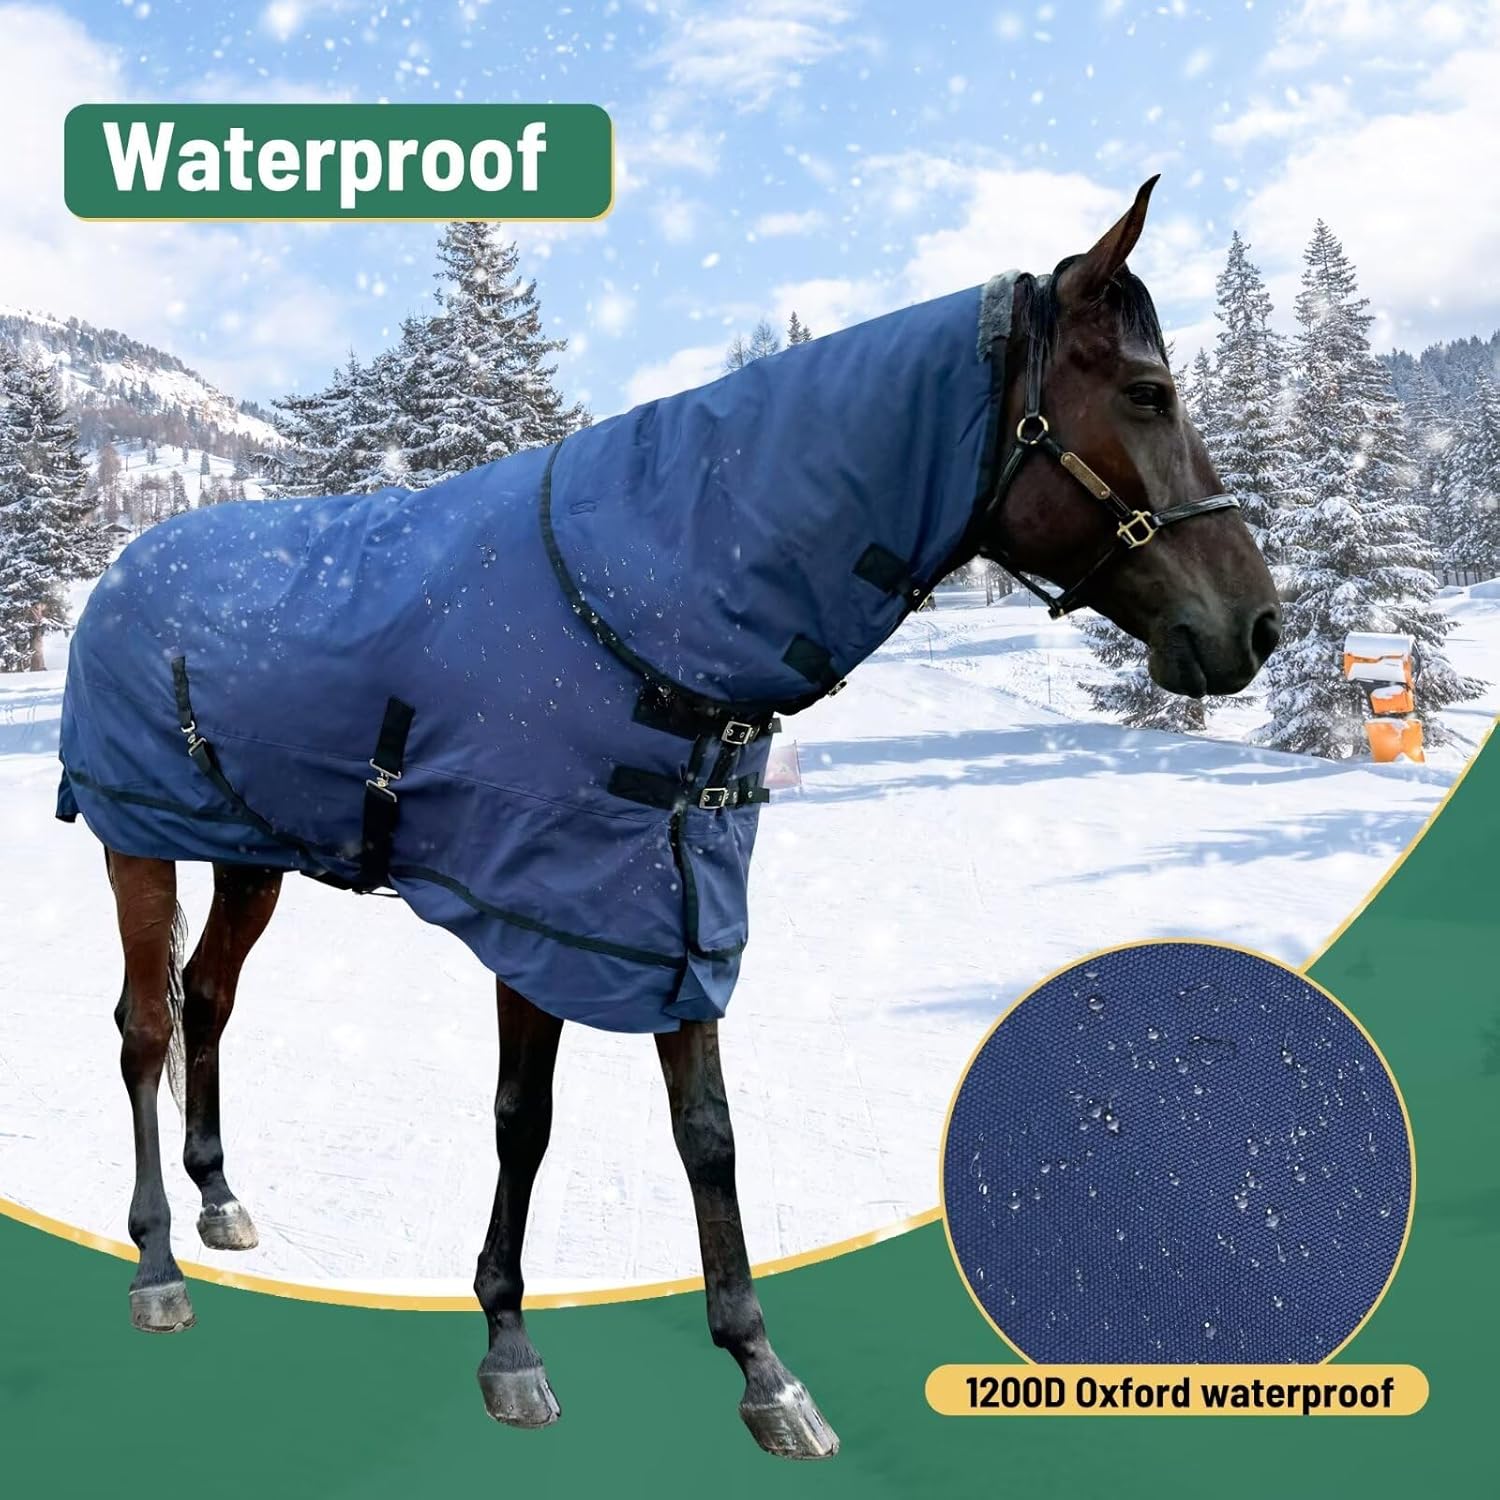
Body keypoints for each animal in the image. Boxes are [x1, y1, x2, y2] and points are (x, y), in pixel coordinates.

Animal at [58, 177, 1278, 1460]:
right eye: (1147, 394)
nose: (1258, 625)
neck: (643, 598)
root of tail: (125, 568)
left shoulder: (675, 909)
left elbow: (709, 1133)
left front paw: (761, 1369)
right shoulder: (543, 914)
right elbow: (525, 1119)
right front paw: (509, 1342)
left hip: (252, 855)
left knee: (208, 1000)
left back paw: (219, 1199)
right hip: (135, 840)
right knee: (145, 1026)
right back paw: (156, 1265)